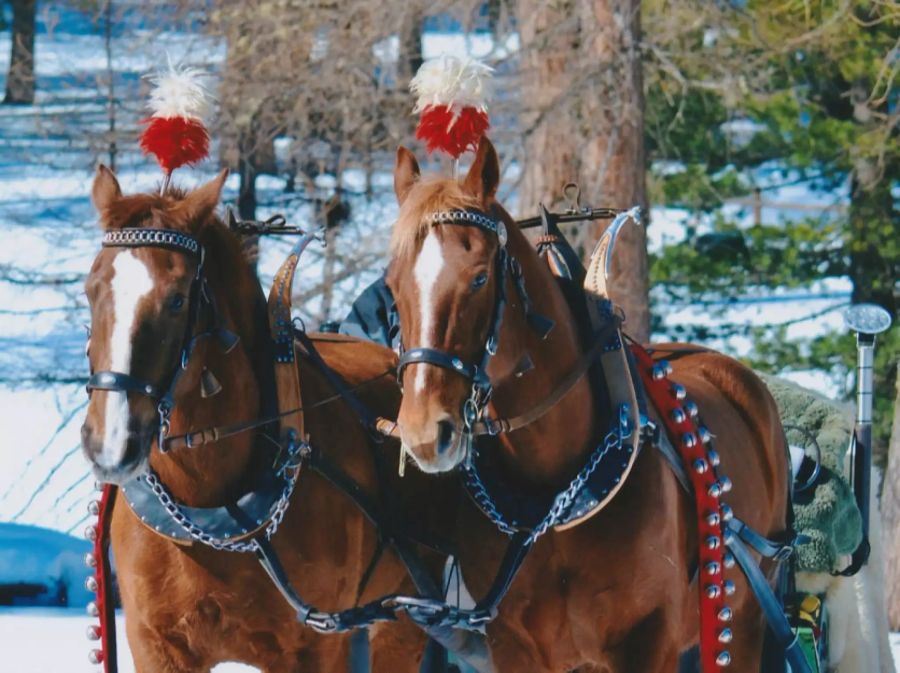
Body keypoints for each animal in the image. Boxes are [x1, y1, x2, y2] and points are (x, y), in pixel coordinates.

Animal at [79, 164, 444, 672]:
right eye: (90, 290)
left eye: (177, 300)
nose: (109, 443)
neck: (212, 509)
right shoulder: (156, 643)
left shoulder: (315, 646)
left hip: (402, 616)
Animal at [384, 138, 792, 672]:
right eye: (393, 285)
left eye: (478, 279)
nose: (426, 433)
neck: (556, 494)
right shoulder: (515, 645)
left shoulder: (648, 640)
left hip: (744, 619)